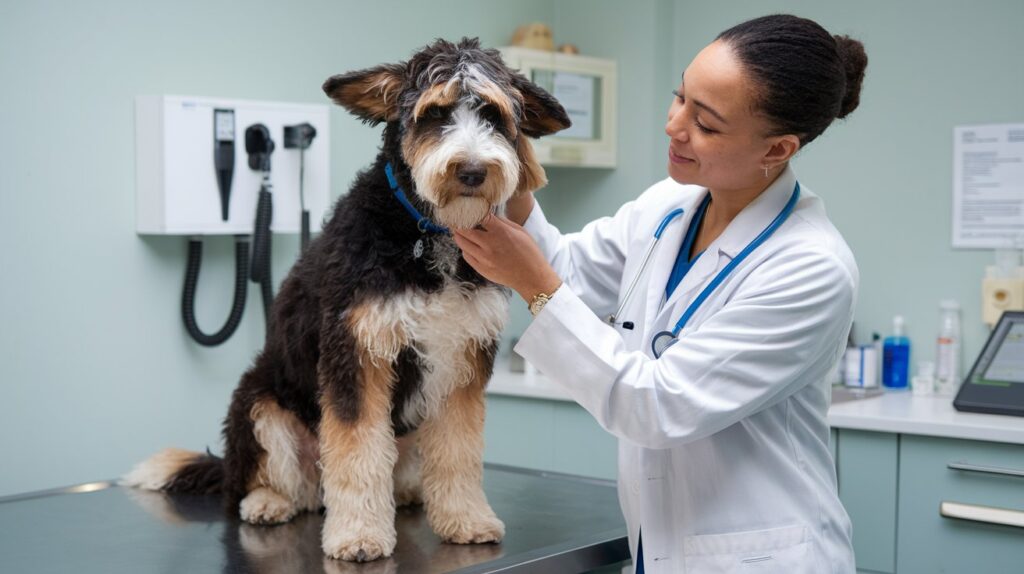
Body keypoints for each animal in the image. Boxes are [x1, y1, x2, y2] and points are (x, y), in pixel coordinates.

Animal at [123, 38, 573, 560]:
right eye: (435, 113)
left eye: (493, 115)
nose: (474, 171)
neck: (424, 232)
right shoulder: (356, 352)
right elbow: (358, 452)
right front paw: (359, 534)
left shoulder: (461, 359)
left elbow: (459, 450)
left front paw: (466, 519)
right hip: (259, 407)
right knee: (271, 483)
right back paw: (268, 501)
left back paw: (407, 493)